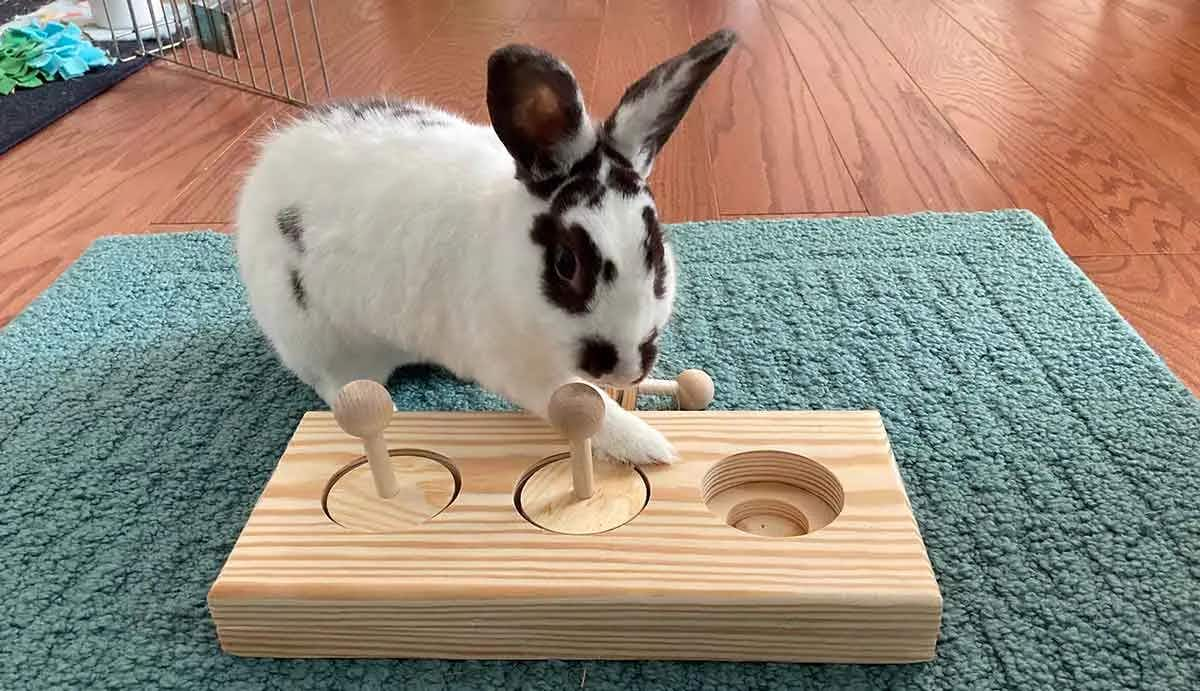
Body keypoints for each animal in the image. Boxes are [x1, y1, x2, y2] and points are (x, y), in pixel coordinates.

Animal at [232, 29, 734, 467]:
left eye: (656, 249)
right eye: (565, 264)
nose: (626, 369)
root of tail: (266, 167)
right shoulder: (519, 367)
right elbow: (580, 404)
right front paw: (649, 445)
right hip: (314, 339)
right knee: (338, 386)